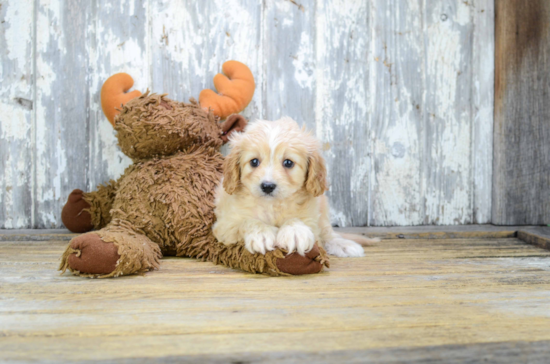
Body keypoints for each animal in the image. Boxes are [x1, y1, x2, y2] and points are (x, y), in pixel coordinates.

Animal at [212, 116, 380, 256]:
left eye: (288, 163)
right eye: (254, 162)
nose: (267, 186)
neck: (272, 205)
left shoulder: (311, 216)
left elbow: (299, 221)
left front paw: (294, 231)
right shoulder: (224, 226)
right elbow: (247, 222)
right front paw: (261, 233)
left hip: (323, 207)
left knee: (327, 232)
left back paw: (343, 245)